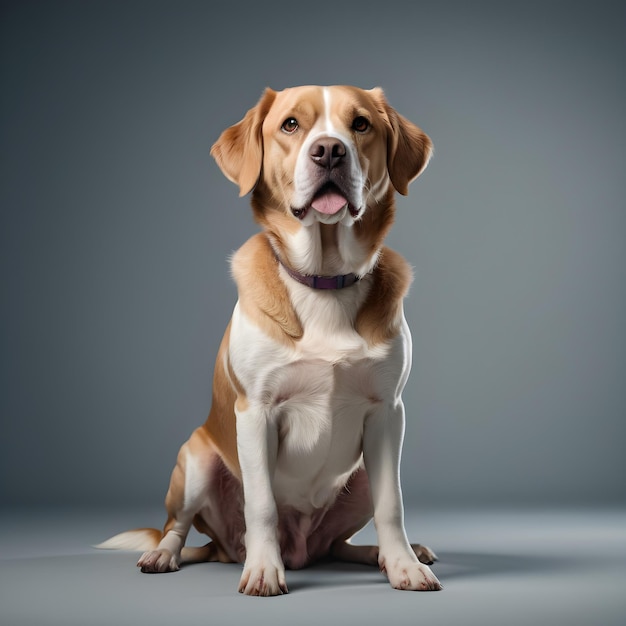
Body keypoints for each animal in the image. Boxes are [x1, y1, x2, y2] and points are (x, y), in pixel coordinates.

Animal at [96, 85, 438, 592]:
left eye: (360, 124)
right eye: (291, 125)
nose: (329, 151)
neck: (324, 280)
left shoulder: (386, 414)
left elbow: (390, 504)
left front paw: (402, 565)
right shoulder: (256, 413)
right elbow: (261, 505)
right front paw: (262, 570)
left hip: (356, 477)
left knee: (339, 543)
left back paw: (384, 554)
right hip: (195, 459)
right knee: (177, 526)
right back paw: (166, 555)